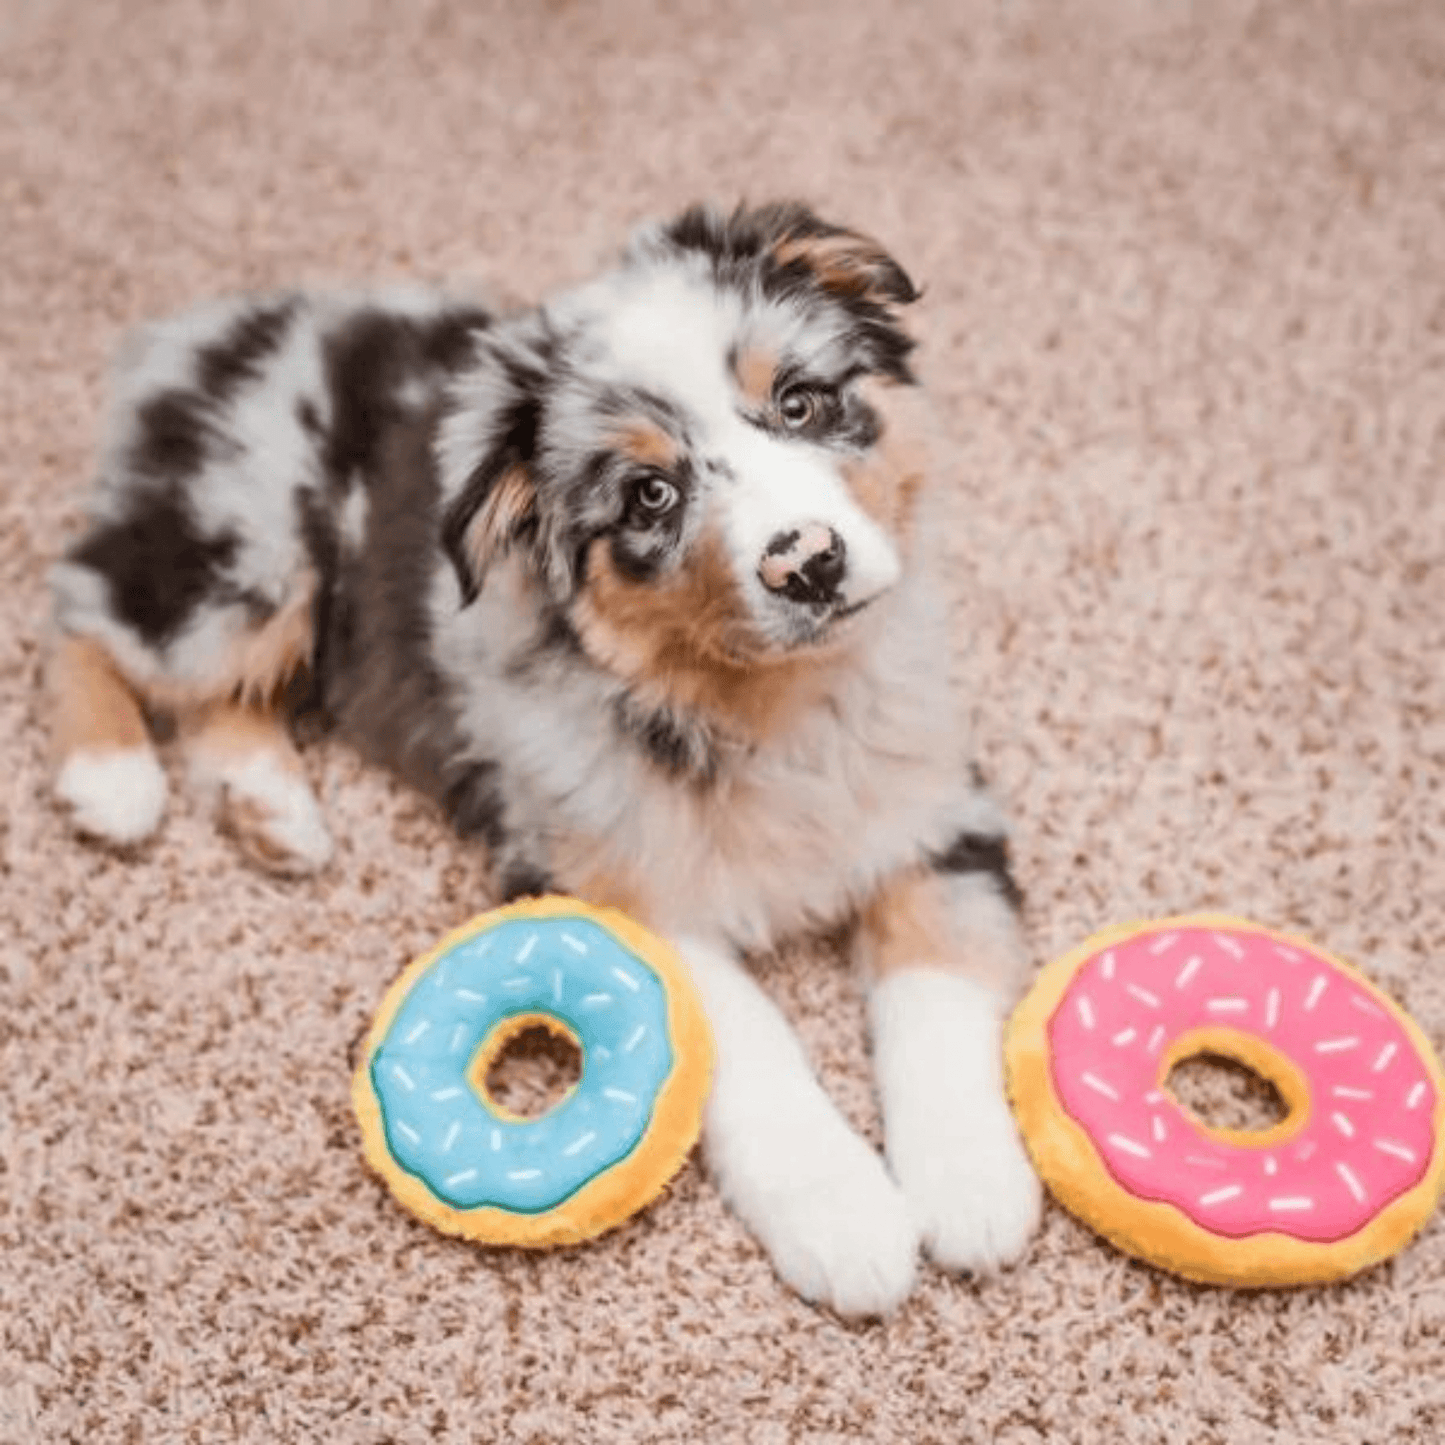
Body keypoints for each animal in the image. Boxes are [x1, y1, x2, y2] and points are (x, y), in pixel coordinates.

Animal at [45, 203, 1040, 1323]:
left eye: (797, 401)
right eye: (649, 496)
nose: (808, 562)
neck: (772, 705)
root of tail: (212, 333)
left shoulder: (935, 811)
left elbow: (934, 996)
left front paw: (968, 1185)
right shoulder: (606, 880)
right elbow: (752, 1045)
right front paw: (847, 1219)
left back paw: (269, 808)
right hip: (249, 555)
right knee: (86, 606)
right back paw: (111, 777)